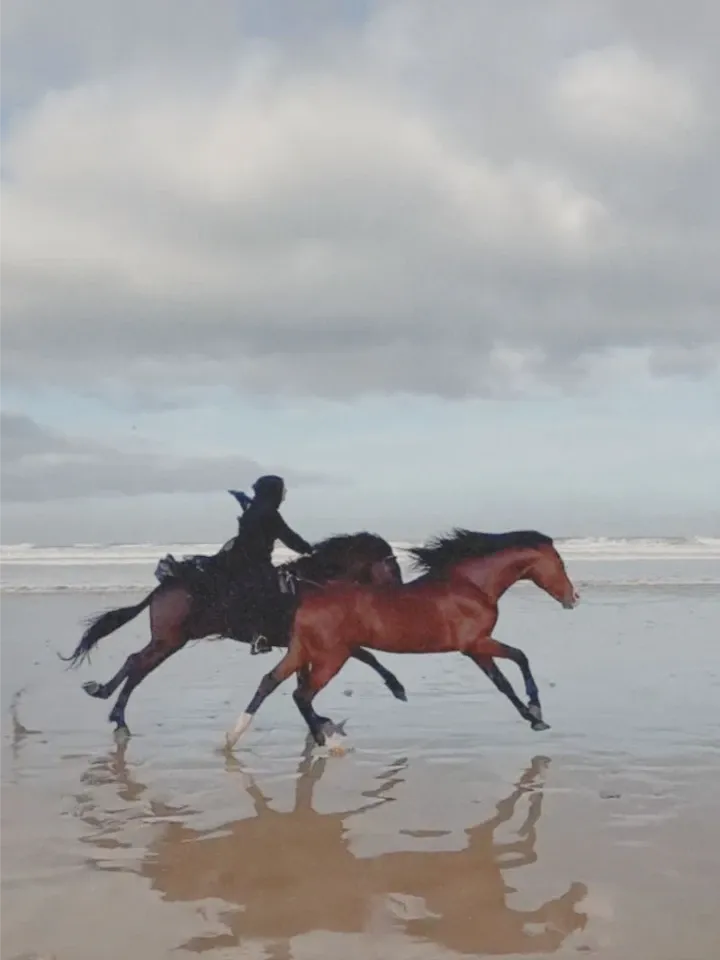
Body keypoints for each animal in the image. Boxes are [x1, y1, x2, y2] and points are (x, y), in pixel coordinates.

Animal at [59, 532, 407, 737]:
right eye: (393, 566)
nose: (401, 595)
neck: (314, 584)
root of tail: (164, 586)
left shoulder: (306, 646)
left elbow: (306, 678)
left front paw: (318, 719)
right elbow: (365, 656)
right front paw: (397, 688)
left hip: (168, 641)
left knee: (136, 663)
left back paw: (106, 699)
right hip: (169, 641)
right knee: (138, 666)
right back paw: (116, 714)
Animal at [225, 528, 580, 751]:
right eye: (560, 563)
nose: (574, 598)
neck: (472, 586)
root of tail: (306, 596)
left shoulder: (476, 649)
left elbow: (504, 680)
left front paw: (533, 717)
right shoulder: (476, 644)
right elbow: (519, 659)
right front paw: (536, 713)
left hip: (302, 650)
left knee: (270, 682)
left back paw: (233, 736)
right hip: (330, 657)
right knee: (302, 695)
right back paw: (330, 743)